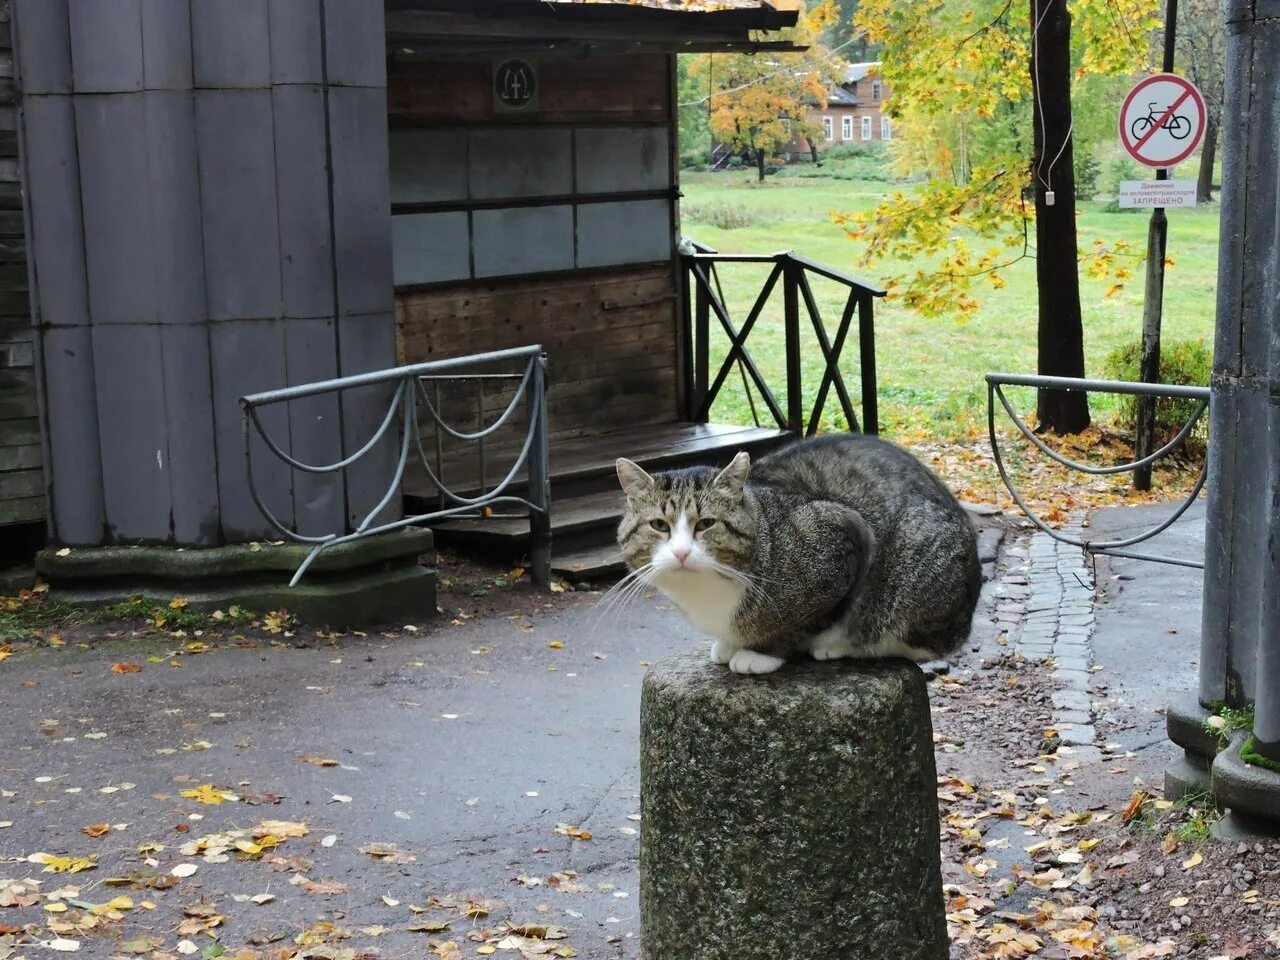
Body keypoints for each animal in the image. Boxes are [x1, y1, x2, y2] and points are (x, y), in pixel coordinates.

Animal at [616, 435, 977, 675]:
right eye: (659, 525)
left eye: (705, 523)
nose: (680, 552)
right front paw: (730, 642)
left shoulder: (844, 537)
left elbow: (803, 622)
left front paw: (761, 652)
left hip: (914, 568)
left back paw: (835, 645)